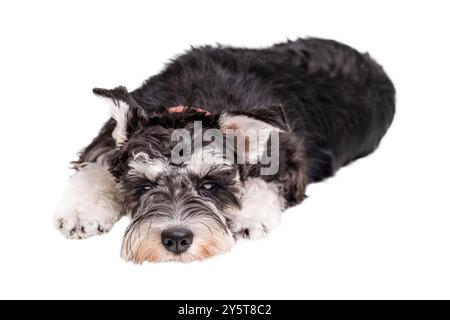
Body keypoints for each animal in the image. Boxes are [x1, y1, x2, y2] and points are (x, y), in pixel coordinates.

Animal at [54, 37, 396, 262]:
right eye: (145, 186)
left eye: (209, 185)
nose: (176, 239)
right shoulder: (105, 144)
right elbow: (95, 169)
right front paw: (82, 211)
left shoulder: (289, 154)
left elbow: (264, 180)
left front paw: (249, 214)